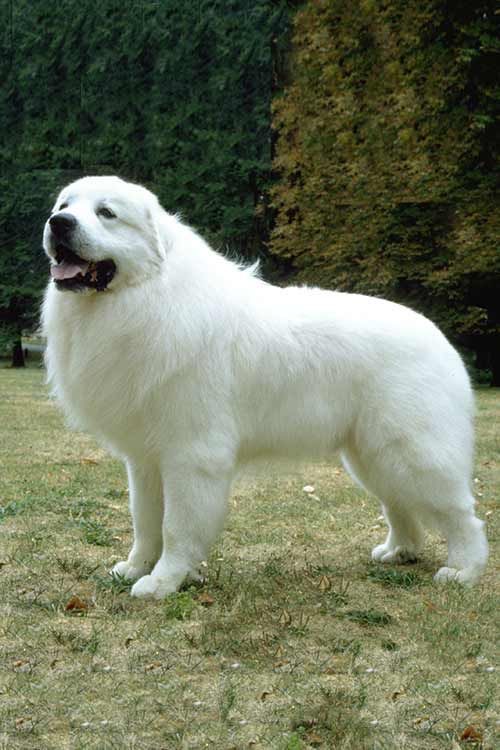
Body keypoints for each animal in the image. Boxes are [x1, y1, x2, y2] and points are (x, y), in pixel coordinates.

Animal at [43, 176, 488, 600]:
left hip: (413, 453)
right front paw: (135, 568)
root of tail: (438, 336)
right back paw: (399, 551)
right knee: (398, 504)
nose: (58, 223)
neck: (149, 294)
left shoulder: (191, 456)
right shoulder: (145, 460)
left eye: (106, 213)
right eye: (64, 205)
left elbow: (176, 528)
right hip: (372, 456)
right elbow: (145, 522)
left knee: (462, 515)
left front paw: (163, 582)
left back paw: (464, 571)